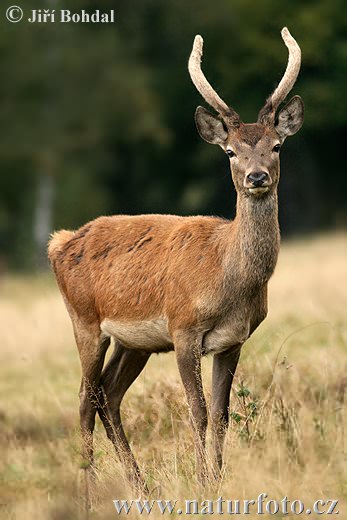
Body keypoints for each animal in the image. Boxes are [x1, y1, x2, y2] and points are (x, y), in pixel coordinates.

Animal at [48, 27, 304, 488]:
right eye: (231, 152)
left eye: (277, 146)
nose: (257, 176)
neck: (227, 278)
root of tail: (58, 243)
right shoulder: (183, 327)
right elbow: (197, 412)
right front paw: (202, 481)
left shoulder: (233, 339)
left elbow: (221, 414)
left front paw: (217, 480)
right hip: (84, 319)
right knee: (84, 396)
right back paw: (89, 488)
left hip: (136, 342)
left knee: (108, 394)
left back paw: (139, 484)